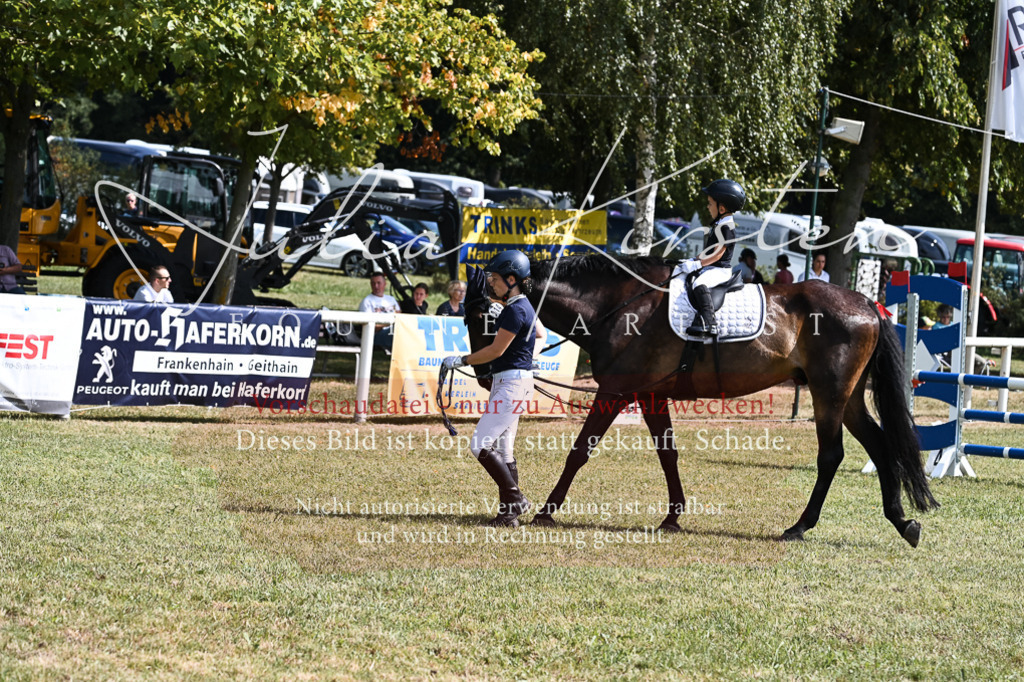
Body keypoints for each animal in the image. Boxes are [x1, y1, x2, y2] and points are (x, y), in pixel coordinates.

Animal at [461, 255, 938, 547]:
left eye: (484, 315)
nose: (484, 376)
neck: (617, 306)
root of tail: (868, 303)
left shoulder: (615, 392)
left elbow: (580, 451)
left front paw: (546, 510)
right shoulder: (650, 395)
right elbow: (667, 454)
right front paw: (673, 516)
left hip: (829, 395)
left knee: (832, 455)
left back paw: (801, 525)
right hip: (849, 397)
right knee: (880, 445)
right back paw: (903, 522)